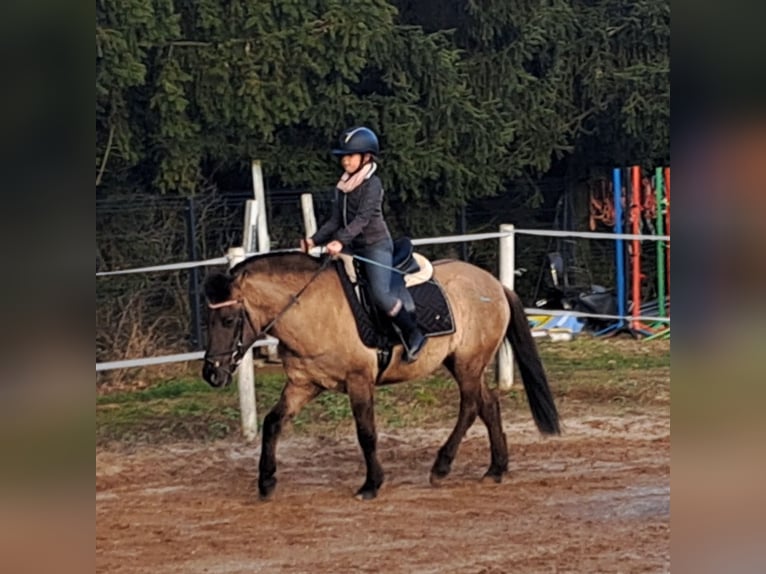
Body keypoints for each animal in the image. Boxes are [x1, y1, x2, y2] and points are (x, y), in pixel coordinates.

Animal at [202, 251, 560, 500]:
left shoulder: (359, 381)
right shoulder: (304, 384)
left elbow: (366, 433)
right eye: (209, 318)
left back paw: (442, 466)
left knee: (471, 407)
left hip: (468, 364)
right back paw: (496, 469)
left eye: (229, 319)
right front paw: (266, 482)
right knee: (488, 405)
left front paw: (371, 484)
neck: (312, 310)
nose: (211, 374)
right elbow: (273, 423)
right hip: (463, 364)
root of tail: (495, 284)